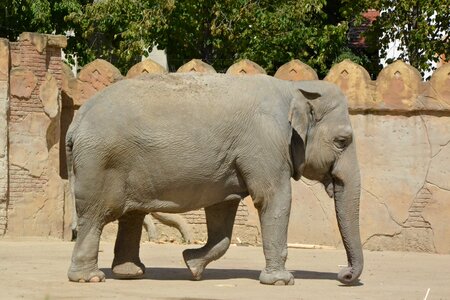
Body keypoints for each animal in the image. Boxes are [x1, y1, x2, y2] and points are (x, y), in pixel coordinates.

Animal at [66, 72, 362, 286]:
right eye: (342, 141)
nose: (344, 276)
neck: (295, 88)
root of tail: (77, 119)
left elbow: (222, 212)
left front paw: (191, 265)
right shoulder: (265, 142)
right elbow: (273, 198)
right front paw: (281, 281)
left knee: (131, 216)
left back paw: (131, 273)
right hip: (100, 162)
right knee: (95, 215)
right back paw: (90, 278)